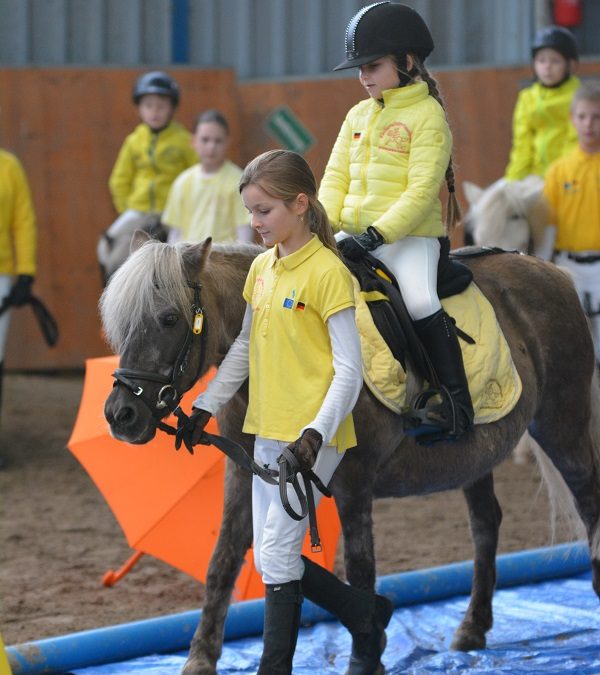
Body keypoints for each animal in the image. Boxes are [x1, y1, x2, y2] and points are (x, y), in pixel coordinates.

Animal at [101, 234, 600, 675]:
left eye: (169, 318)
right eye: (119, 325)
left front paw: (368, 654)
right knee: (486, 523)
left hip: (562, 423)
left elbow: (360, 566)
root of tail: (549, 271)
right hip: (474, 453)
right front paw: (201, 657)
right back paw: (472, 628)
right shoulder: (245, 474)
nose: (120, 415)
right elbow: (223, 559)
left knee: (586, 498)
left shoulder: (353, 482)